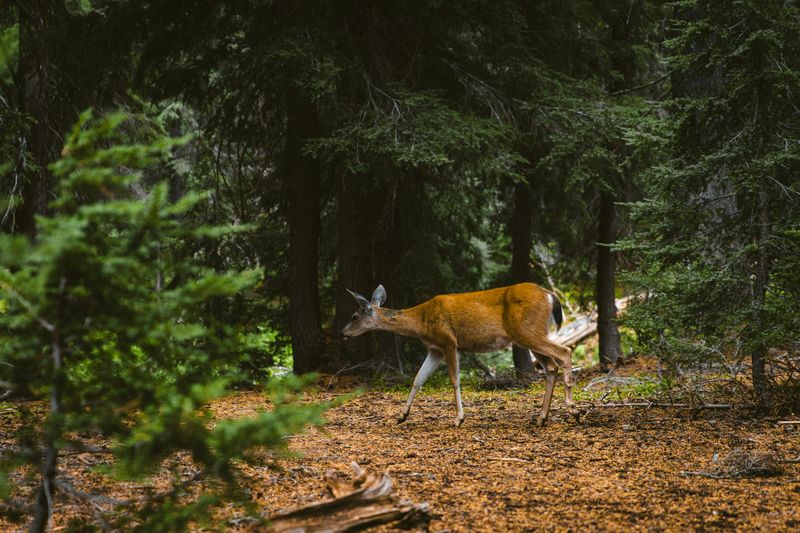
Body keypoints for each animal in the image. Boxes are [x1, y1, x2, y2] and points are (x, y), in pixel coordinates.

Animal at [340, 282, 580, 428]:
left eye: (354, 316)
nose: (342, 333)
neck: (421, 321)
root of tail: (550, 296)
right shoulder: (434, 349)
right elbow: (418, 379)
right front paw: (402, 415)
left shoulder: (448, 341)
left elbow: (455, 380)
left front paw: (458, 419)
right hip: (529, 334)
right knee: (551, 366)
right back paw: (542, 417)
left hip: (527, 331)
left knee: (565, 352)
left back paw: (572, 410)